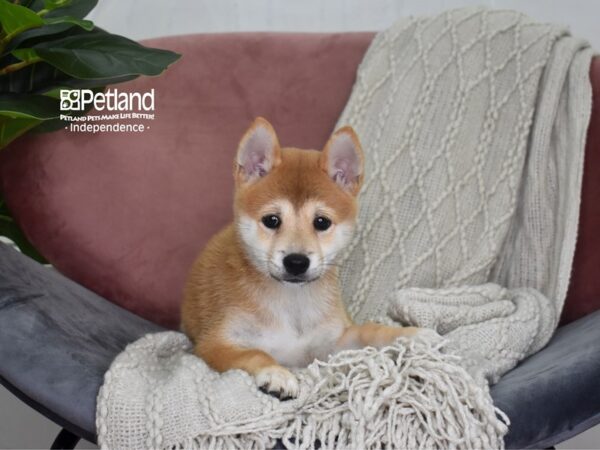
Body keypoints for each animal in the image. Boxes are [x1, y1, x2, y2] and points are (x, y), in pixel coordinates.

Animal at [182, 118, 422, 400]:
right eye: (271, 220)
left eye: (322, 222)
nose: (296, 262)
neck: (292, 302)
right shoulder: (216, 344)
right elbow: (255, 353)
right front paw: (276, 374)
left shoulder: (332, 342)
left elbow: (370, 331)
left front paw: (411, 334)